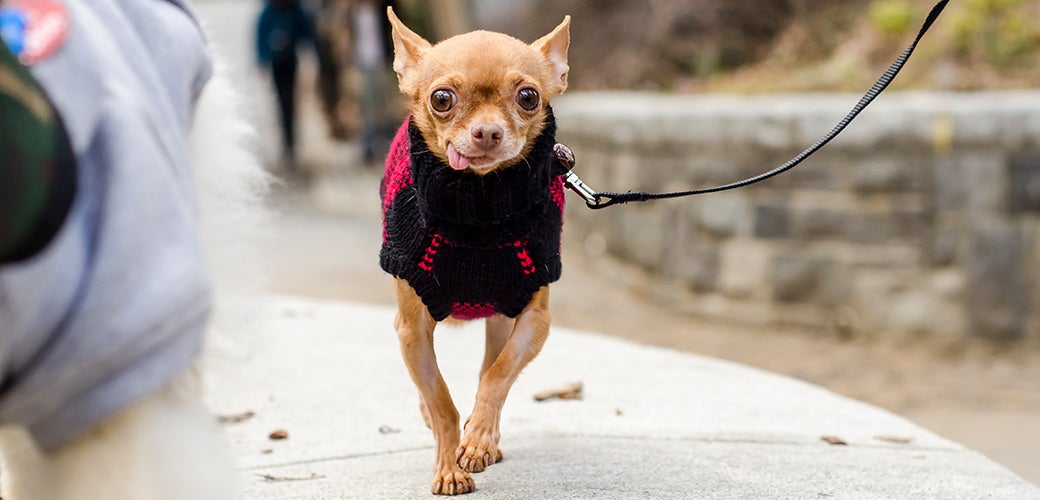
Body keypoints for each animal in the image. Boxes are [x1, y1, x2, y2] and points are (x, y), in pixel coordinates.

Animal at [379, 7, 570, 495]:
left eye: (528, 97)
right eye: (442, 99)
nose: (487, 131)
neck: (480, 212)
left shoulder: (534, 320)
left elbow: (497, 375)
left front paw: (480, 438)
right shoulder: (411, 329)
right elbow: (441, 400)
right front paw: (448, 467)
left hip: (501, 318)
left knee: (490, 366)